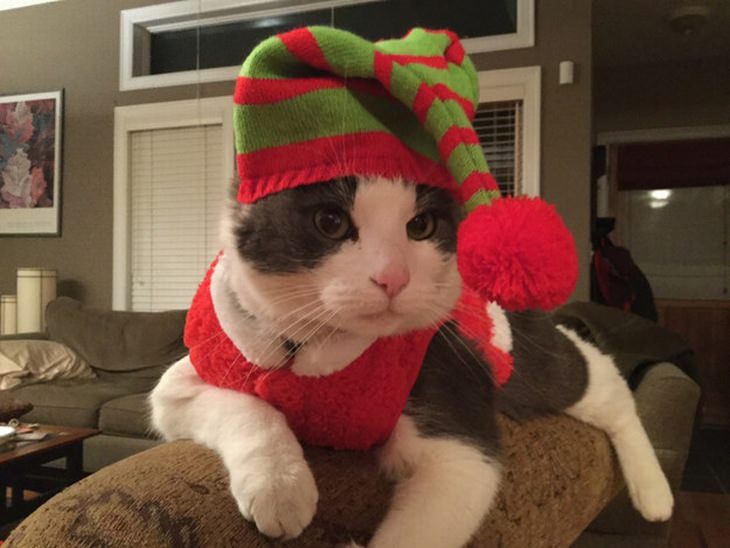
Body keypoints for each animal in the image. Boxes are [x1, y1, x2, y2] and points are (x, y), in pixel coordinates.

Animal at [148, 176, 672, 548]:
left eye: (420, 226)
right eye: (330, 222)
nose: (392, 278)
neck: (318, 346)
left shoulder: (456, 422)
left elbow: (453, 481)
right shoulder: (190, 378)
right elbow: (241, 406)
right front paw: (280, 483)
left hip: (536, 367)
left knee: (602, 379)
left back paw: (654, 491)